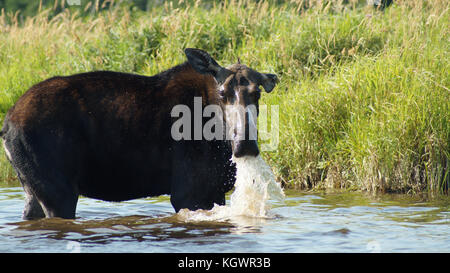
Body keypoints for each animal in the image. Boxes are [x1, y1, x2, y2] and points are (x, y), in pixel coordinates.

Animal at [0, 48, 278, 219]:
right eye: (222, 93)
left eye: (257, 93)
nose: (245, 144)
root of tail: (6, 126)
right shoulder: (189, 192)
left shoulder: (215, 190)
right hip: (59, 192)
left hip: (32, 188)